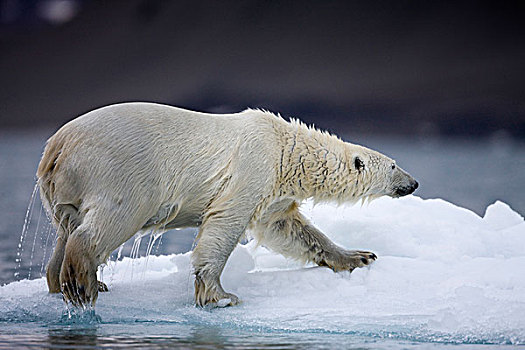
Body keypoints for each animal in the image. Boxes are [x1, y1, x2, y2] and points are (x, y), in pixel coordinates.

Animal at [36, 102, 418, 308]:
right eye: (394, 165)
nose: (413, 183)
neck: (286, 149)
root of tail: (55, 147)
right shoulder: (253, 165)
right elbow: (225, 222)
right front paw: (220, 296)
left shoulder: (275, 189)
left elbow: (287, 228)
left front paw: (358, 256)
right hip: (119, 172)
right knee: (108, 222)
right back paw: (85, 284)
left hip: (64, 191)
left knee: (65, 229)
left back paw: (66, 281)